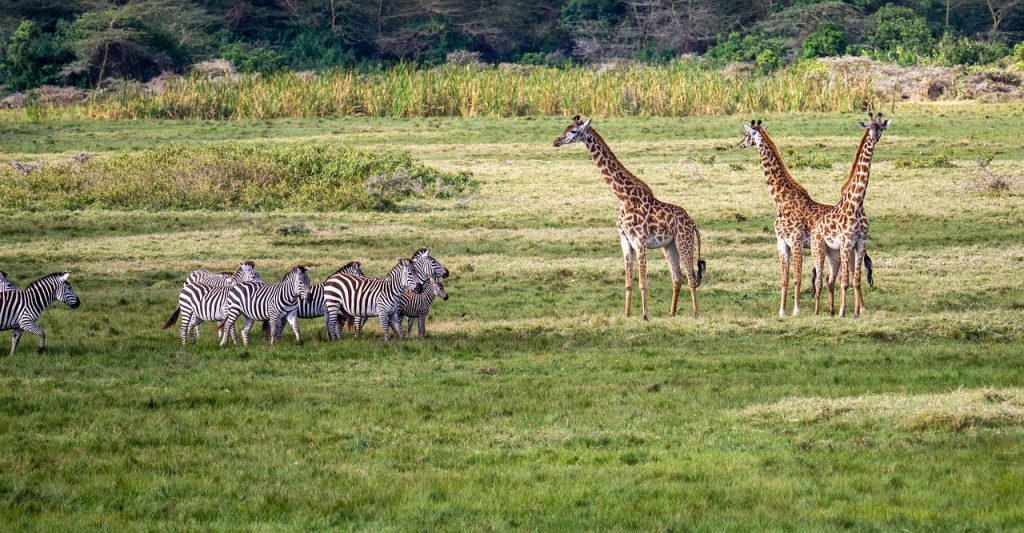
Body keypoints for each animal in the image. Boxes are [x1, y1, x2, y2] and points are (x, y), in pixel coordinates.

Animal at [552, 114, 704, 317]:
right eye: (565, 128)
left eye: (574, 131)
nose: (556, 141)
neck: (623, 199)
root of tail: (693, 223)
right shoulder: (625, 240)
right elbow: (628, 283)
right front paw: (627, 314)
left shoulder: (640, 241)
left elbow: (643, 282)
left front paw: (645, 315)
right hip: (669, 246)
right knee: (677, 277)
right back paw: (672, 314)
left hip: (683, 241)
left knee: (690, 277)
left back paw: (695, 314)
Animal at [811, 111, 884, 315]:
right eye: (869, 127)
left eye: (881, 127)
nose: (874, 137)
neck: (857, 204)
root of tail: (815, 227)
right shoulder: (846, 243)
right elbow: (845, 282)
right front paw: (844, 313)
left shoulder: (860, 243)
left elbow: (856, 280)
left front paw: (857, 313)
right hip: (818, 248)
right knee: (819, 279)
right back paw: (817, 311)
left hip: (833, 253)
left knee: (829, 279)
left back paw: (831, 310)